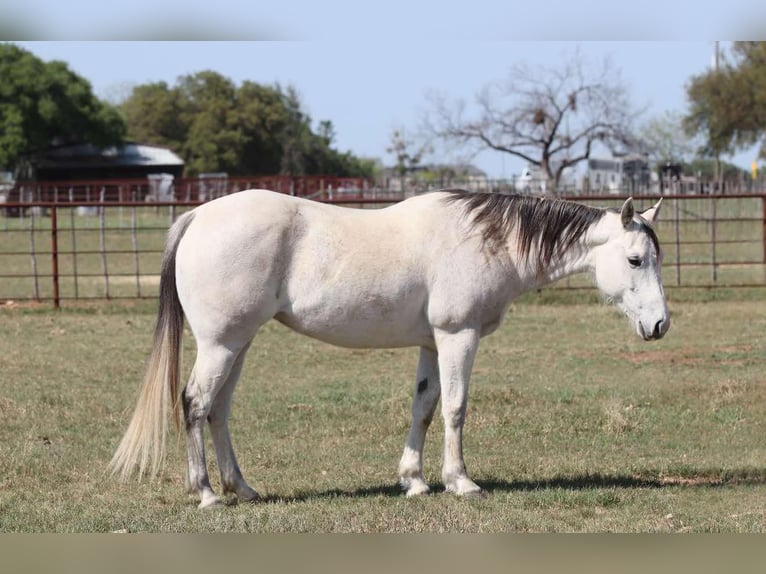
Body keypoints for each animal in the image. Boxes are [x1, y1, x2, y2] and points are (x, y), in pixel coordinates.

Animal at [110, 188, 669, 508]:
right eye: (636, 260)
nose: (660, 324)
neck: (488, 240)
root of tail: (197, 218)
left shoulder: (431, 342)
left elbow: (424, 407)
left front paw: (414, 482)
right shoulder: (457, 335)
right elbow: (456, 408)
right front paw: (460, 482)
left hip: (238, 344)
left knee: (219, 410)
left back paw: (241, 489)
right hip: (221, 344)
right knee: (195, 404)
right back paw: (205, 493)